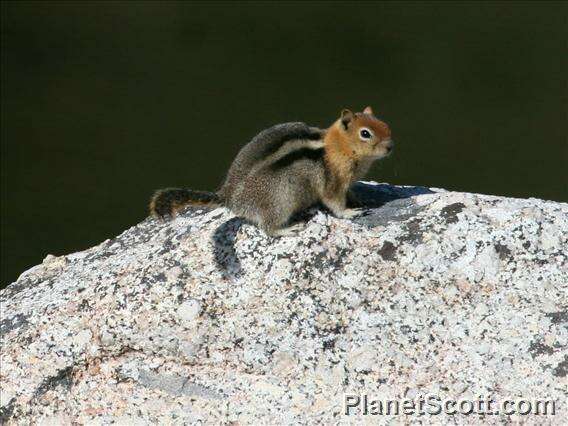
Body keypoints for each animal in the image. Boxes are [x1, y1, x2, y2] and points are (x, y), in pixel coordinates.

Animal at [149, 106, 392, 236]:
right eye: (365, 133)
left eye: (385, 125)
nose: (391, 146)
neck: (337, 147)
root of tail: (229, 197)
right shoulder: (332, 180)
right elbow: (334, 202)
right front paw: (350, 212)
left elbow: (350, 192)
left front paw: (359, 199)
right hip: (280, 200)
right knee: (268, 227)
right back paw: (287, 229)